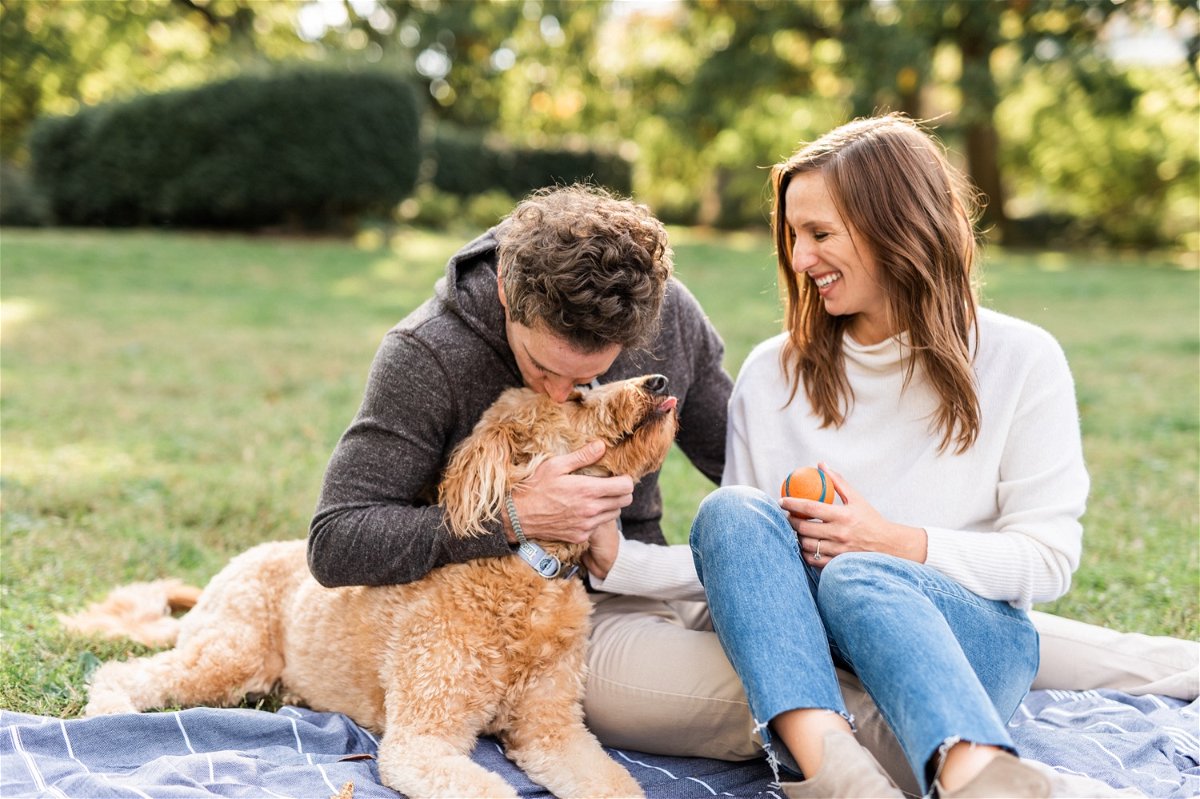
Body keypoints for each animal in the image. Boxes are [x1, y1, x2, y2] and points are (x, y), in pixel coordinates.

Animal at [65, 374, 681, 796]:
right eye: (576, 398)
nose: (658, 381)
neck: (526, 577)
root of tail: (229, 570)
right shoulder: (421, 741)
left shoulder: (553, 731)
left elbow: (615, 784)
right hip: (232, 657)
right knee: (130, 672)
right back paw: (112, 712)